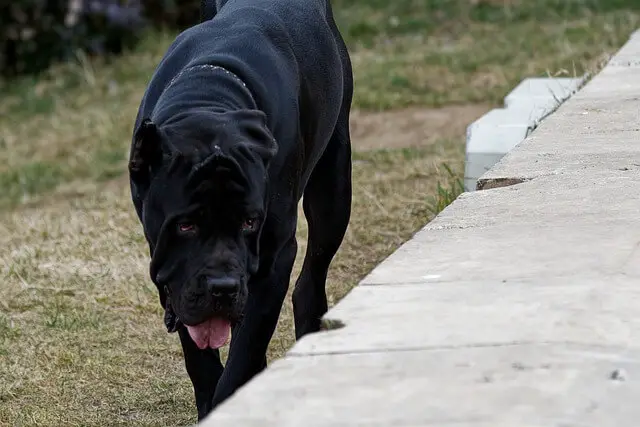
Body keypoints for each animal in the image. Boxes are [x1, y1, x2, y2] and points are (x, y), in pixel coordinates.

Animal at [127, 0, 352, 422]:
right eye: (185, 225)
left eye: (250, 223)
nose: (223, 287)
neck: (209, 96)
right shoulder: (171, 267)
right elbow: (200, 358)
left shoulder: (274, 257)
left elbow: (244, 351)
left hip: (333, 188)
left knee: (312, 274)